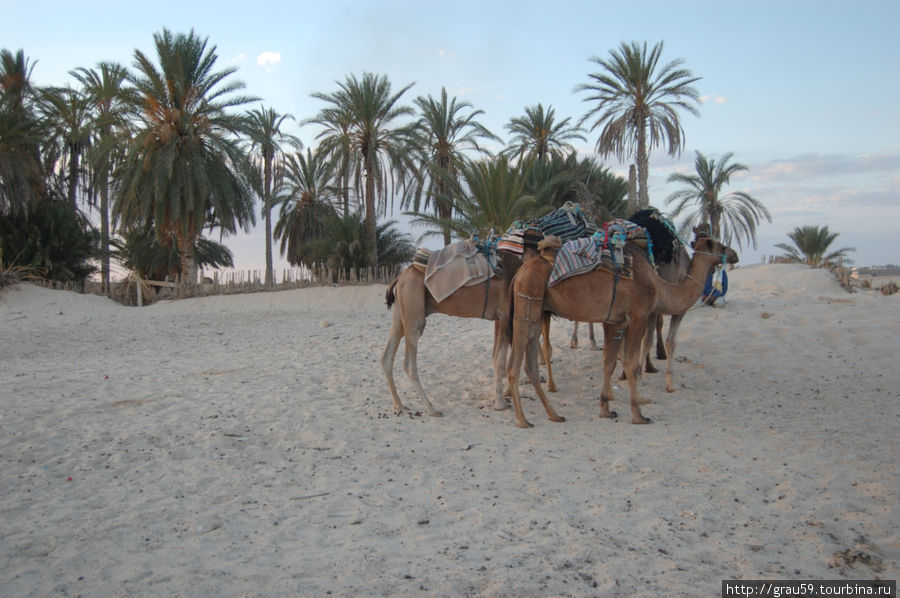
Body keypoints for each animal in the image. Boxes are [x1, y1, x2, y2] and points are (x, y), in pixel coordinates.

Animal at [506, 237, 740, 428]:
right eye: (720, 245)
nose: (735, 254)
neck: (659, 287)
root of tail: (519, 273)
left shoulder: (616, 322)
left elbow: (609, 362)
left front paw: (605, 409)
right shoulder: (638, 316)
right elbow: (631, 364)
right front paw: (639, 414)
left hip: (539, 312)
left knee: (530, 365)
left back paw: (554, 415)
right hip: (527, 301)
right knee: (515, 364)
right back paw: (522, 420)